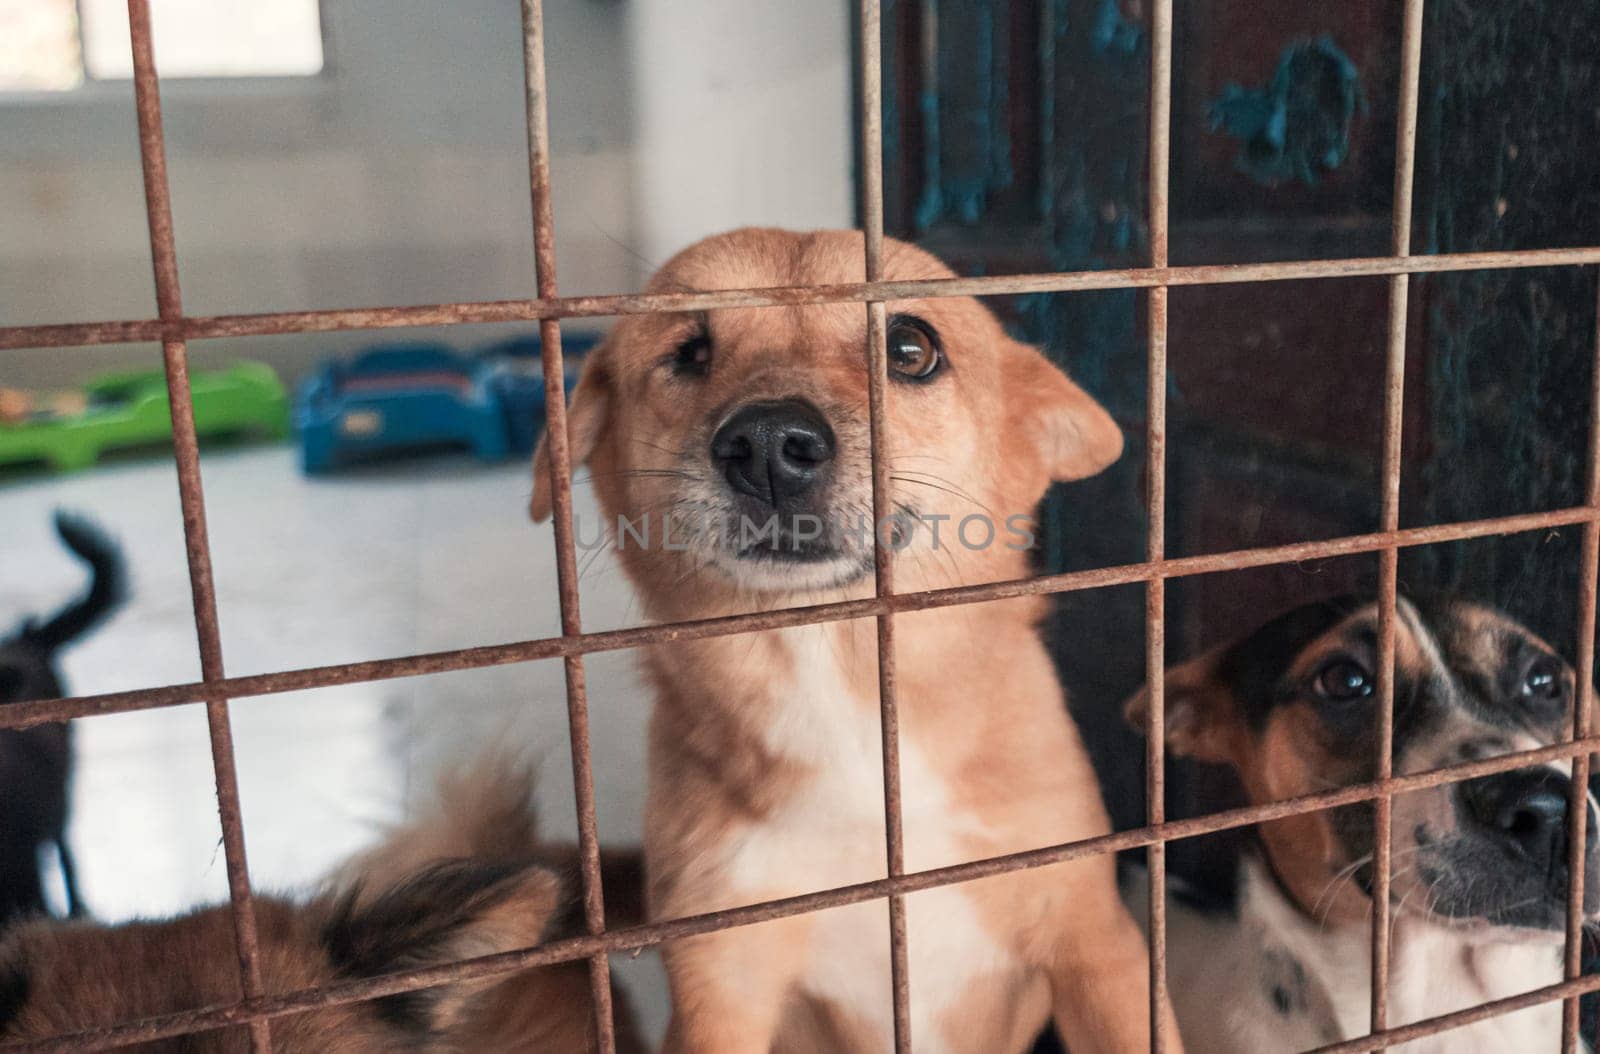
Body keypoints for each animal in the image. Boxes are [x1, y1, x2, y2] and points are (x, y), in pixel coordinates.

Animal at [531, 228, 1171, 1054]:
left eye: (910, 348)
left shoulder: (1098, 946)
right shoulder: (721, 987)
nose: (768, 443)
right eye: (688, 351)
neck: (847, 688)